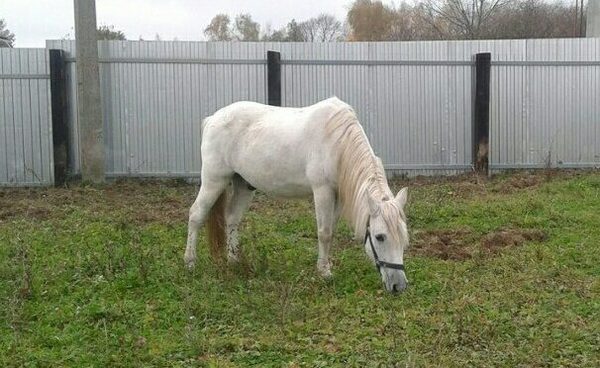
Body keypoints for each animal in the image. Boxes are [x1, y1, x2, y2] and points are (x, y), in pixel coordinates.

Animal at [185, 96, 408, 292]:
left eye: (404, 238)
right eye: (380, 237)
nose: (399, 286)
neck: (337, 142)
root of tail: (213, 118)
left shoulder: (337, 196)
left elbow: (331, 231)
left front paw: (325, 267)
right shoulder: (322, 191)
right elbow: (324, 233)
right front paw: (324, 273)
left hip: (243, 185)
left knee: (232, 218)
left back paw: (233, 260)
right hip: (214, 180)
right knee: (196, 215)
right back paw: (190, 262)